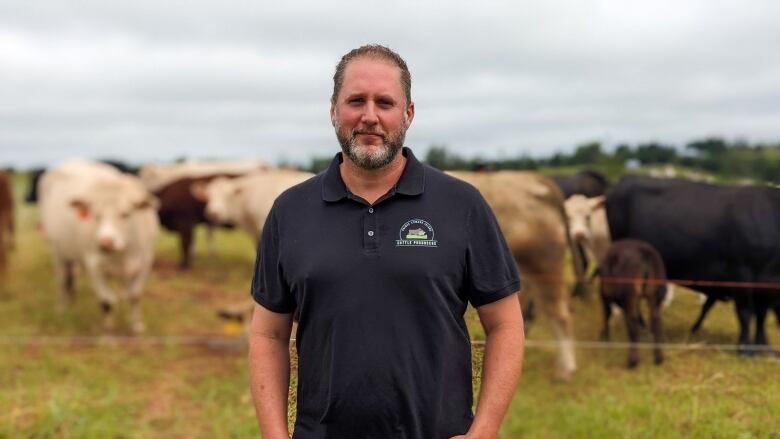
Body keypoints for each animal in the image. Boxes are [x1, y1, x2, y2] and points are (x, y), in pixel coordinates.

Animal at [40, 160, 161, 336]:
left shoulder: (145, 261)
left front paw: (136, 325)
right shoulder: (94, 266)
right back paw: (62, 309)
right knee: (62, 281)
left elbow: (134, 295)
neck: (123, 252)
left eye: (125, 214)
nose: (105, 242)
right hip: (56, 251)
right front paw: (107, 332)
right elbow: (106, 302)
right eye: (96, 215)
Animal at [596, 239, 664, 370]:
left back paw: (632, 361)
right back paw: (658, 357)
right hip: (653, 291)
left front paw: (605, 337)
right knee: (656, 319)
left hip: (630, 293)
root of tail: (645, 253)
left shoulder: (605, 295)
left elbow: (607, 314)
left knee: (632, 321)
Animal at [608, 175, 780, 354]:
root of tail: (627, 179)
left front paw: (765, 347)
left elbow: (761, 315)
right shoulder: (741, 273)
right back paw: (640, 328)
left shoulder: (766, 284)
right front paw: (745, 348)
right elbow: (745, 313)